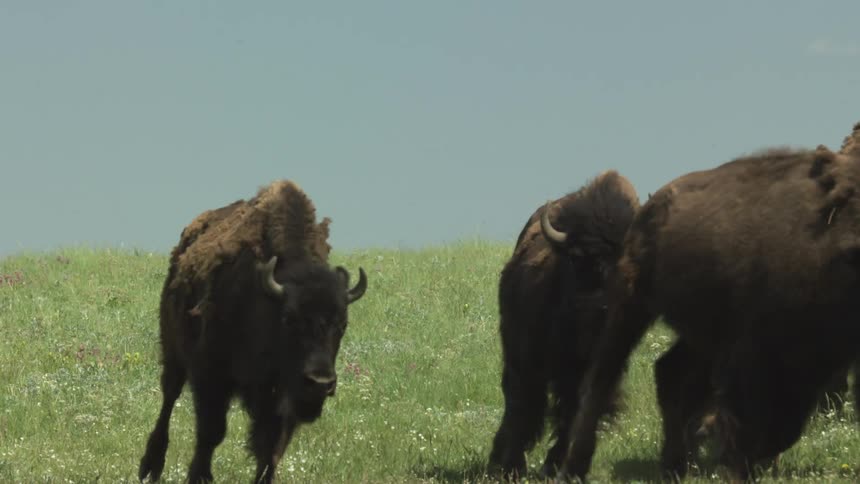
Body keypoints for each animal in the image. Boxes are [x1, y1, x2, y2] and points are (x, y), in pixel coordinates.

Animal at [138, 180, 367, 483]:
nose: (319, 383)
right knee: (169, 397)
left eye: (342, 325)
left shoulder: (281, 397)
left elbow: (271, 449)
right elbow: (211, 432)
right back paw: (150, 466)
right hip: (173, 350)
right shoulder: (211, 374)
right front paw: (199, 476)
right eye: (289, 319)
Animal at [487, 170, 640, 479]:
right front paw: (512, 466)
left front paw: (559, 466)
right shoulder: (529, 361)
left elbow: (576, 414)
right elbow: (525, 406)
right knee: (518, 405)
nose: (603, 309)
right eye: (577, 258)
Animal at [558, 122, 860, 482]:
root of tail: (650, 206)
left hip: (698, 334)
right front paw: (737, 465)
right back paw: (576, 468)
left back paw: (675, 465)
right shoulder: (750, 351)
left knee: (669, 374)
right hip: (631, 306)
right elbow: (744, 414)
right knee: (602, 379)